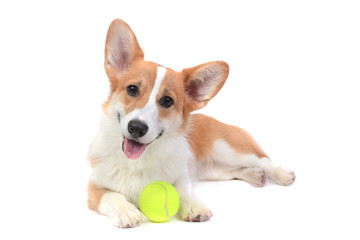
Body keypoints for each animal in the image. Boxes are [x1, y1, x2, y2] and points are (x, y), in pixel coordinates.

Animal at [86, 19, 296, 229]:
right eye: (132, 89)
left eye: (167, 101)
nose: (137, 128)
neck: (138, 162)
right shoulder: (93, 188)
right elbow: (111, 196)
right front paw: (126, 211)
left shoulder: (182, 176)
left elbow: (182, 192)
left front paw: (194, 207)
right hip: (214, 171)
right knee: (234, 171)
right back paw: (255, 175)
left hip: (229, 150)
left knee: (262, 159)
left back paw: (281, 174)